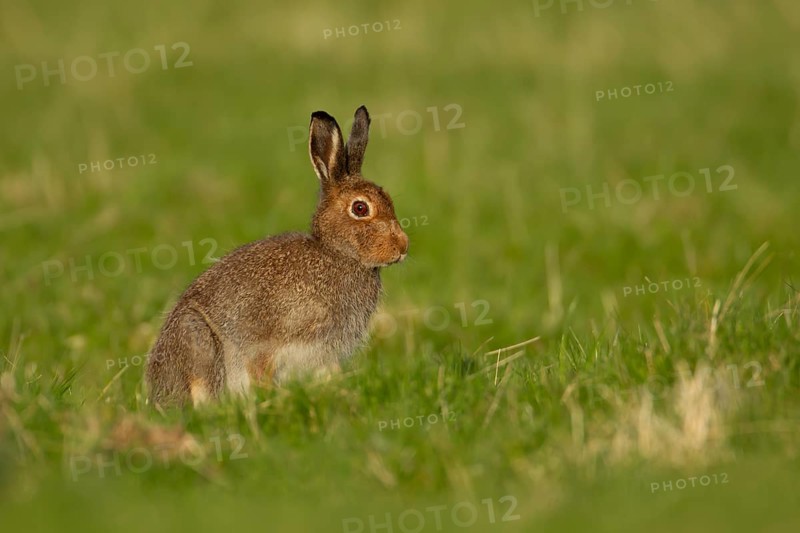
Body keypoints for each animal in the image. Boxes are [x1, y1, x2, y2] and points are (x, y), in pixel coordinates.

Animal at [146, 106, 408, 406]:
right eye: (360, 208)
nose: (403, 247)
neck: (337, 253)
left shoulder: (324, 354)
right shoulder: (268, 342)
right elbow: (261, 370)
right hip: (196, 338)